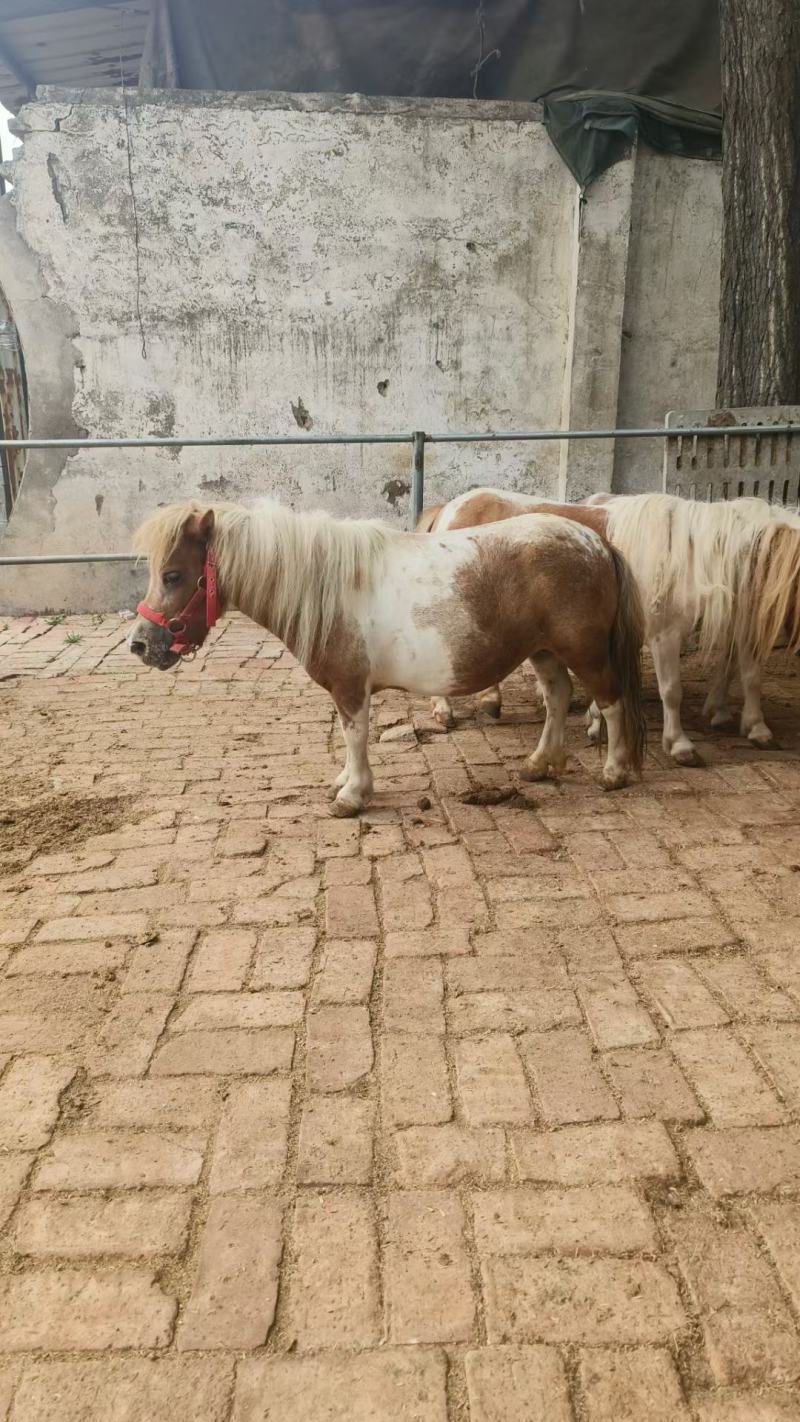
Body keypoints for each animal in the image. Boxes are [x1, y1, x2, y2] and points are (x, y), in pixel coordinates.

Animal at [129, 498, 646, 814]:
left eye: (174, 575)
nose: (140, 645)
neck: (328, 587)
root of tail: (598, 543)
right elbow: (347, 737)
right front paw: (343, 781)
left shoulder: (350, 686)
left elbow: (355, 735)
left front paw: (353, 795)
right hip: (543, 651)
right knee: (558, 697)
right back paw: (540, 764)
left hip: (586, 652)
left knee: (612, 702)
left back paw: (614, 772)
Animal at [422, 487, 800, 764]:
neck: (691, 556)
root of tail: (450, 508)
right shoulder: (664, 633)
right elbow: (672, 690)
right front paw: (679, 744)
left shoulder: (743, 616)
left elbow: (747, 673)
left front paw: (752, 725)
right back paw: (445, 710)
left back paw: (490, 701)